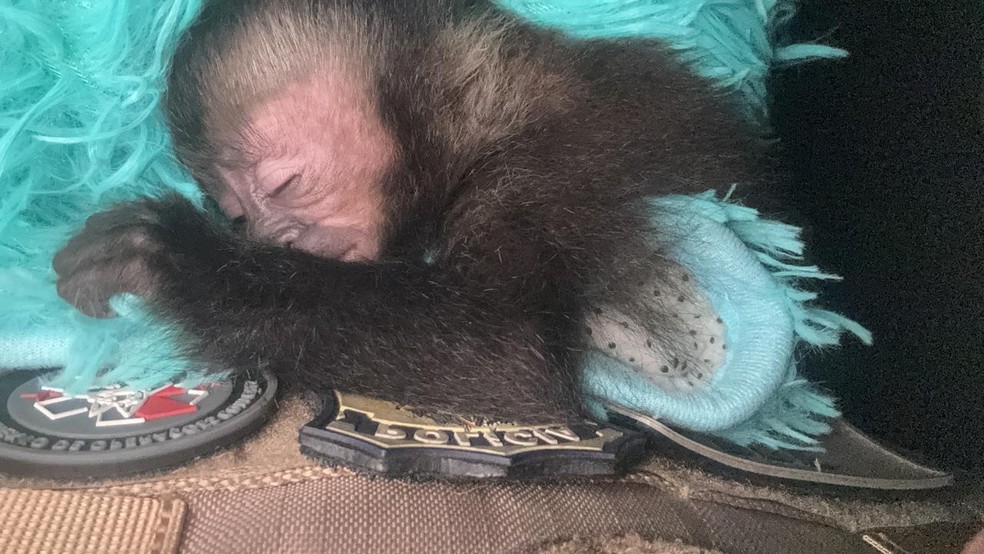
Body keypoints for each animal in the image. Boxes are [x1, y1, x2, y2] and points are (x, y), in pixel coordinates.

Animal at [52, 0, 770, 423]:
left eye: (286, 184)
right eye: (237, 215)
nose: (278, 239)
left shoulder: (557, 164)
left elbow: (506, 348)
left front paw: (173, 256)